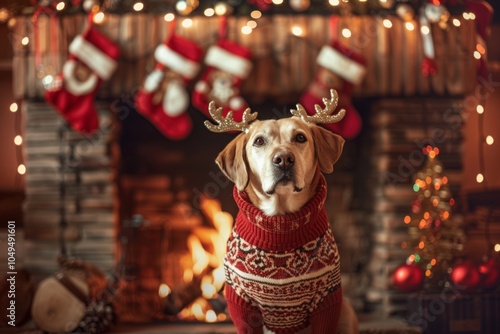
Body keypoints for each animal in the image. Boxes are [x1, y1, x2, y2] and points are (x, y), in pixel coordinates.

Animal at [205, 89, 358, 334]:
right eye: (259, 141)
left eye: (300, 137)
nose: (283, 159)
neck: (280, 222)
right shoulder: (241, 304)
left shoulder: (328, 300)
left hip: (346, 311)